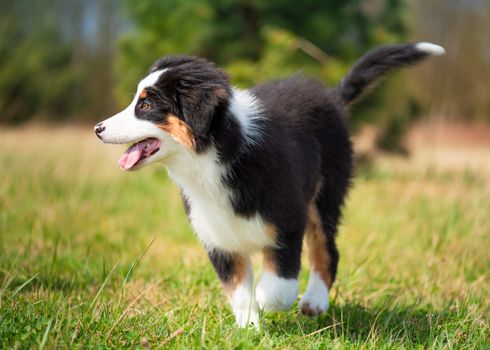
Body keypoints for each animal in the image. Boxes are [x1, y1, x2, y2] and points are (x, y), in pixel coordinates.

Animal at [94, 42, 444, 326]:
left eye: (145, 105)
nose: (98, 128)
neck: (217, 155)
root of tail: (330, 96)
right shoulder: (217, 236)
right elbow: (237, 288)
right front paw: (248, 329)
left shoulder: (287, 222)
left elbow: (279, 285)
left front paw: (264, 299)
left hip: (325, 195)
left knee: (327, 250)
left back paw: (314, 301)